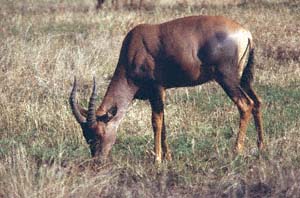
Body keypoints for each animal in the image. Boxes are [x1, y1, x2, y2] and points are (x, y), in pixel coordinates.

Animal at [69, 15, 264, 163]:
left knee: (245, 105)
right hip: (243, 79)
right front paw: (167, 156)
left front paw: (157, 159)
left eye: (99, 133)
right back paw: (261, 146)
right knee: (257, 102)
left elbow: (156, 122)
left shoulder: (156, 88)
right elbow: (163, 123)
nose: (97, 162)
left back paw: (236, 150)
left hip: (227, 79)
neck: (135, 47)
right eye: (86, 135)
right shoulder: (160, 92)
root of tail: (245, 33)